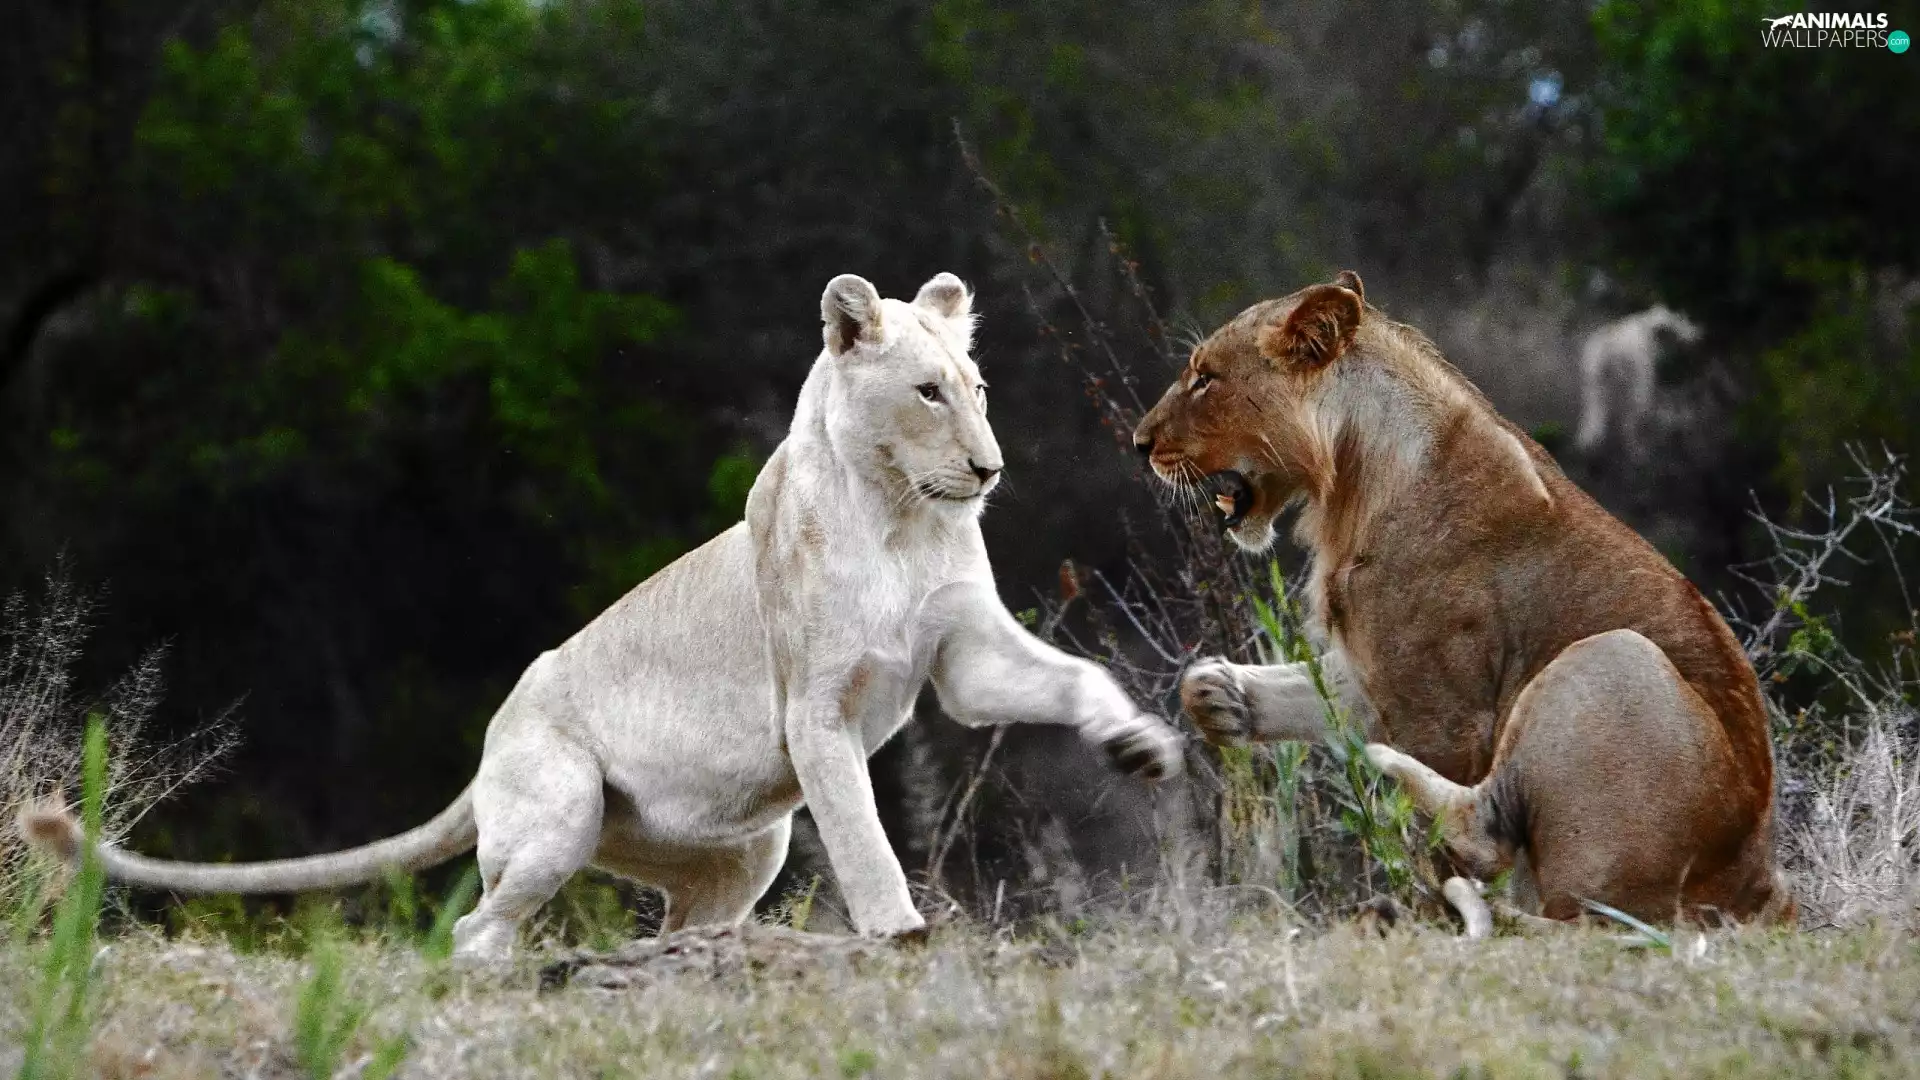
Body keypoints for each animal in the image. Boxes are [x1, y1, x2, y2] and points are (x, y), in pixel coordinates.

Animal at [22, 272, 1184, 960]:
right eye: (928, 392)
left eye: (977, 386)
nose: (990, 470)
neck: (903, 517)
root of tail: (488, 743)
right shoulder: (814, 710)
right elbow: (862, 834)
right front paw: (899, 933)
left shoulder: (963, 659)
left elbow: (1074, 679)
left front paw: (1141, 749)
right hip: (561, 812)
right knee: (476, 924)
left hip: (744, 849)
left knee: (670, 918)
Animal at [1131, 271, 1790, 932]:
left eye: (1205, 378)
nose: (1140, 442)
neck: (1352, 481)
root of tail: (1754, 892)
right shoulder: (1371, 676)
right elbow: (1276, 690)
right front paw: (1216, 695)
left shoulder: (1445, 714)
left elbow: (1431, 843)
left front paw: (1429, 909)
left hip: (1615, 657)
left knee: (1493, 842)